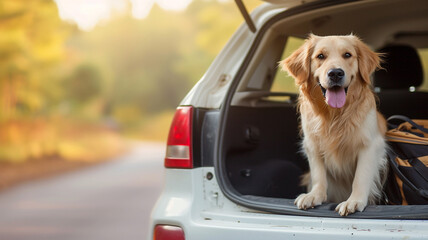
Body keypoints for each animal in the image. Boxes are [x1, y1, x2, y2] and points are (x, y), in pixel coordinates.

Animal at [280, 33, 388, 216]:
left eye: (347, 55)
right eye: (320, 56)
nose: (336, 73)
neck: (335, 115)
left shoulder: (370, 145)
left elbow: (361, 176)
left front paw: (354, 201)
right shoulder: (312, 144)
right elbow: (318, 175)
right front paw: (314, 195)